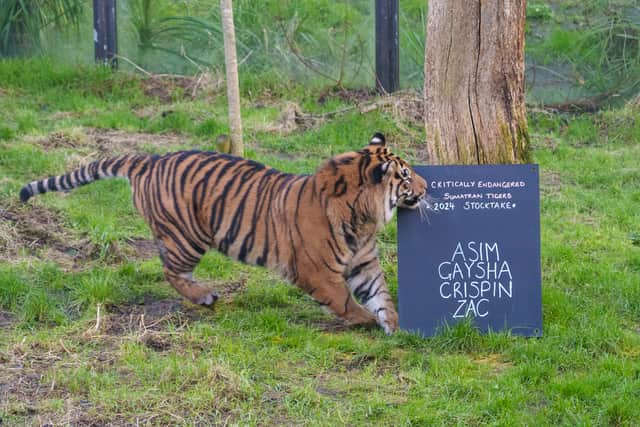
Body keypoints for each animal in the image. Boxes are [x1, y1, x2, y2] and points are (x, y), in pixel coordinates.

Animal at [20, 133, 428, 334]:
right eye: (406, 176)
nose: (426, 188)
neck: (362, 219)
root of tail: (149, 159)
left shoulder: (363, 263)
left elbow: (381, 294)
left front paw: (394, 324)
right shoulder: (317, 271)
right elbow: (344, 300)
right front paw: (365, 321)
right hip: (187, 237)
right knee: (169, 270)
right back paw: (203, 296)